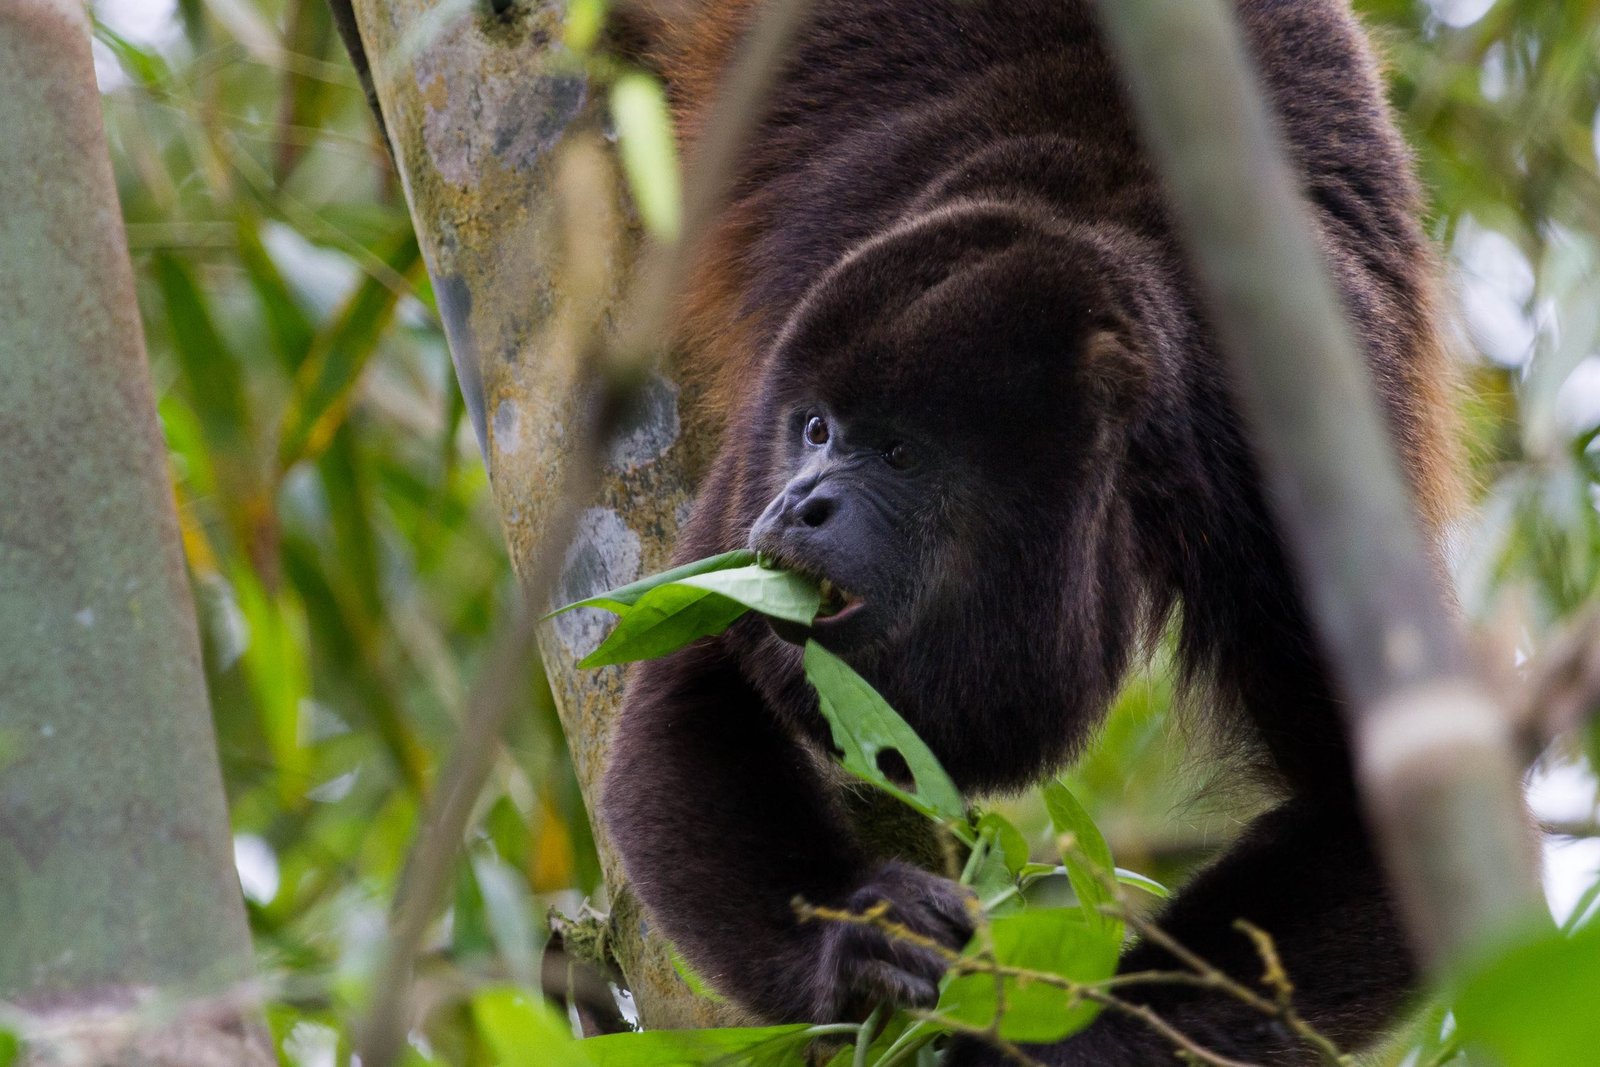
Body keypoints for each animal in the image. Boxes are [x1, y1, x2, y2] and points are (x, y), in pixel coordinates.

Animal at [598, 0, 1462, 1061]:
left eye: (899, 453)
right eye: (816, 428)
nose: (800, 502)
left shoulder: (1283, 476)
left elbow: (1380, 814)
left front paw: (1045, 1040)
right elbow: (693, 678)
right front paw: (856, 935)